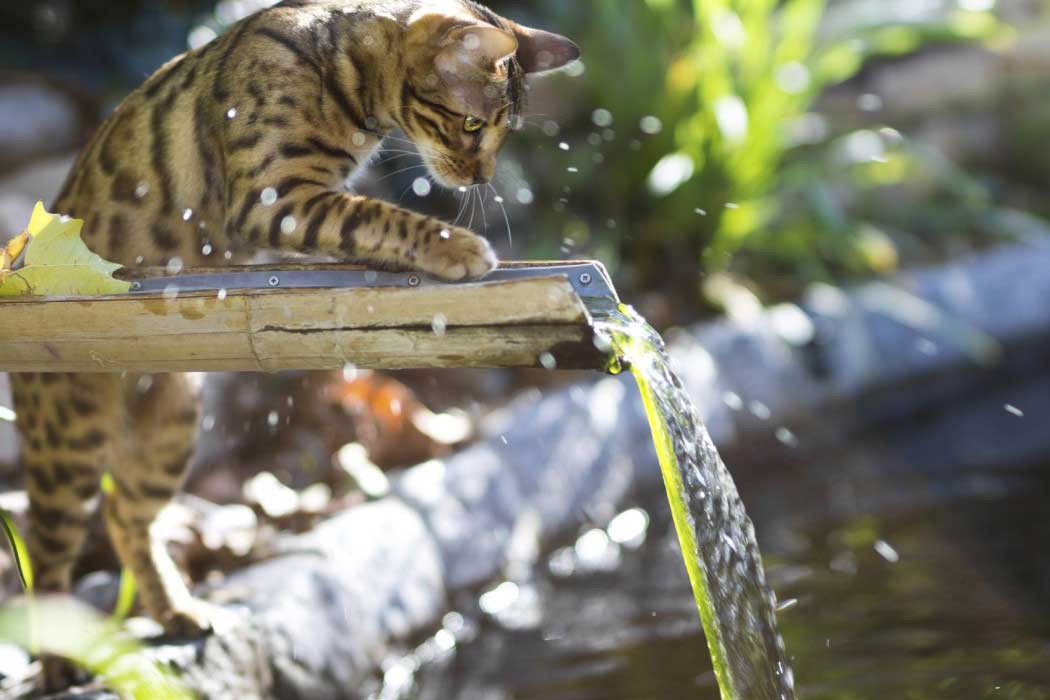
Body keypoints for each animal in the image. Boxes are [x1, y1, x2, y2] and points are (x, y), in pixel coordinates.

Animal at [8, 0, 579, 650]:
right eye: (472, 124)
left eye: (505, 130)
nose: (482, 178)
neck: (346, 79)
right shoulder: (272, 198)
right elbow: (374, 214)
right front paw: (454, 245)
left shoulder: (299, 202)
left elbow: (361, 226)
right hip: (69, 444)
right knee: (45, 563)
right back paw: (62, 658)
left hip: (169, 428)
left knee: (127, 518)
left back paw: (177, 611)